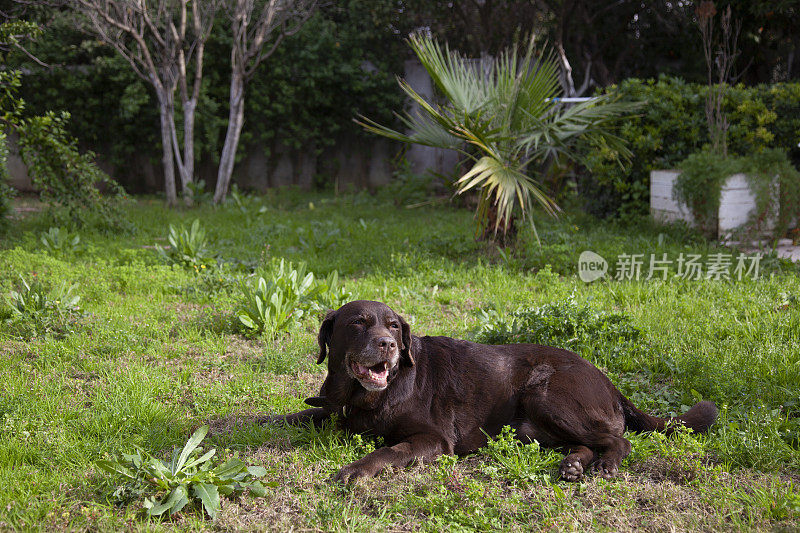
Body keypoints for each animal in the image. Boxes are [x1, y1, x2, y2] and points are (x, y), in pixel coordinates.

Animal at [264, 300, 720, 482]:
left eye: (394, 326)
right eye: (358, 323)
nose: (389, 345)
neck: (364, 397)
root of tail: (608, 380)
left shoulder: (433, 440)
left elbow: (388, 451)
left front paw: (356, 469)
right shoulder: (331, 409)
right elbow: (305, 413)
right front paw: (266, 419)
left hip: (546, 394)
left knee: (617, 439)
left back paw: (605, 465)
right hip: (532, 428)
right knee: (588, 442)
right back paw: (574, 465)